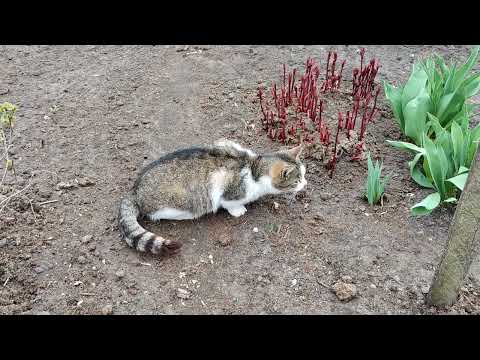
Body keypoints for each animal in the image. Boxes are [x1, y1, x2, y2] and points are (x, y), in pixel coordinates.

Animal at [120, 139, 308, 255]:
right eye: (297, 180)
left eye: (304, 174)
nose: (305, 183)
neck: (255, 168)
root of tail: (134, 190)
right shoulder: (223, 185)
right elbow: (228, 203)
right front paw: (238, 210)